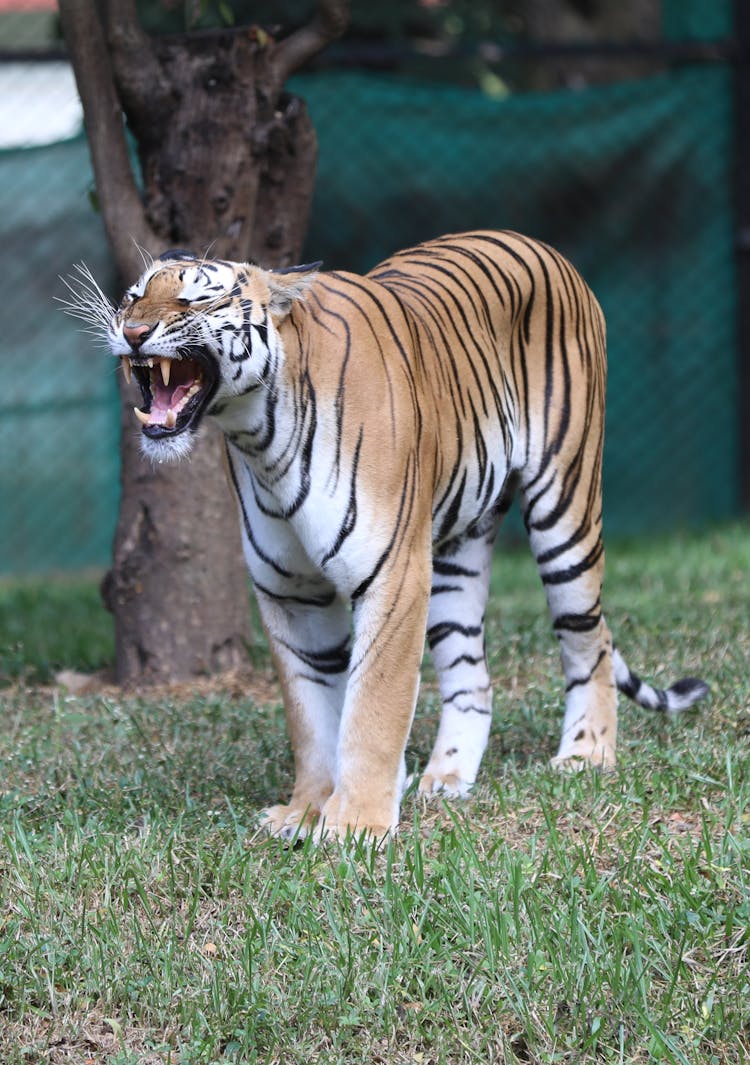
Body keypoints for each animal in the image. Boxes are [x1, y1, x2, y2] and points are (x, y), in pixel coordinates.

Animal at [87, 228, 707, 834]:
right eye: (133, 296)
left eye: (197, 299)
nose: (133, 331)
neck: (258, 437)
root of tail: (544, 247)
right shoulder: (290, 593)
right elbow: (311, 715)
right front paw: (306, 809)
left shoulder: (392, 574)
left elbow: (373, 707)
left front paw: (356, 824)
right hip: (455, 556)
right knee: (473, 679)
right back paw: (446, 779)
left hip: (565, 508)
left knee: (589, 638)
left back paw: (585, 755)